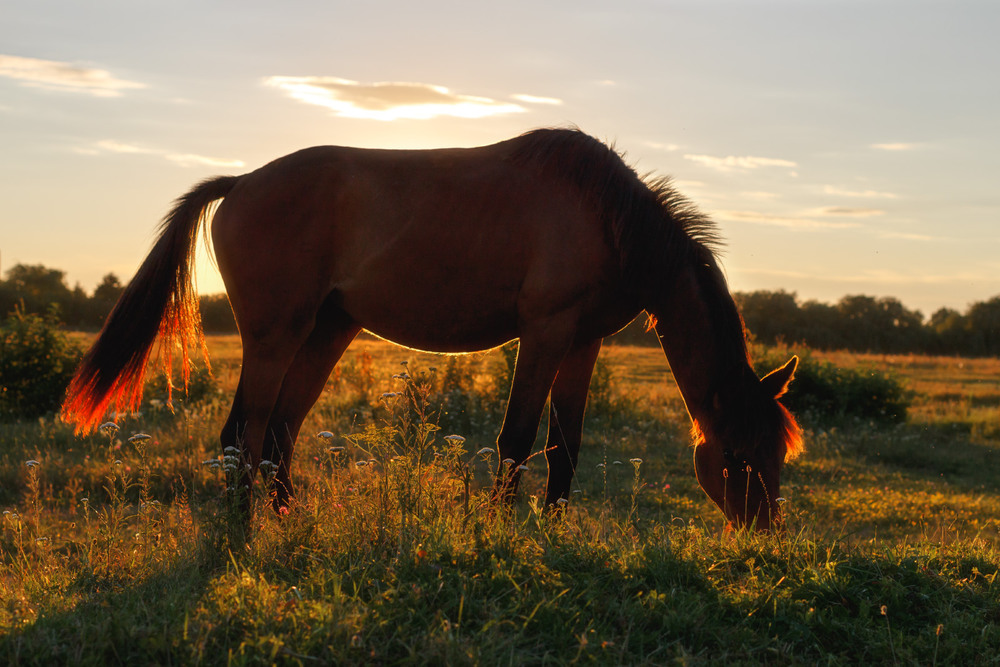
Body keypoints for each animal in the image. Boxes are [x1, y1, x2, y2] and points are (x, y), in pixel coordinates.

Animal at [60, 126, 796, 532]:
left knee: (277, 431)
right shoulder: (545, 332)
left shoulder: (584, 341)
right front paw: (499, 530)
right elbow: (516, 438)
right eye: (737, 454)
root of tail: (241, 183)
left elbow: (565, 446)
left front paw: (555, 529)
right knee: (247, 429)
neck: (607, 216)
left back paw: (287, 518)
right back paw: (245, 528)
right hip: (276, 335)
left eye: (776, 454)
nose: (762, 534)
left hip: (326, 331)